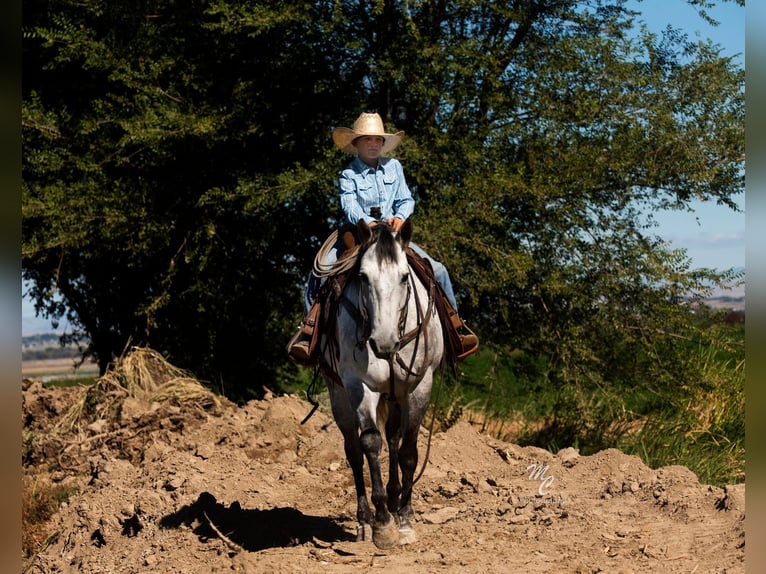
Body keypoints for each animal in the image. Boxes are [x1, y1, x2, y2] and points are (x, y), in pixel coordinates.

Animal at [322, 218, 444, 552]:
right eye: (363, 277)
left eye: (404, 277)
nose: (383, 343)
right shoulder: (359, 386)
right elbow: (370, 443)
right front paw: (383, 524)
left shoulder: (419, 387)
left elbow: (408, 452)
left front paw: (404, 519)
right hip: (339, 396)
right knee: (353, 450)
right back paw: (365, 521)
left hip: (395, 396)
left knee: (393, 439)